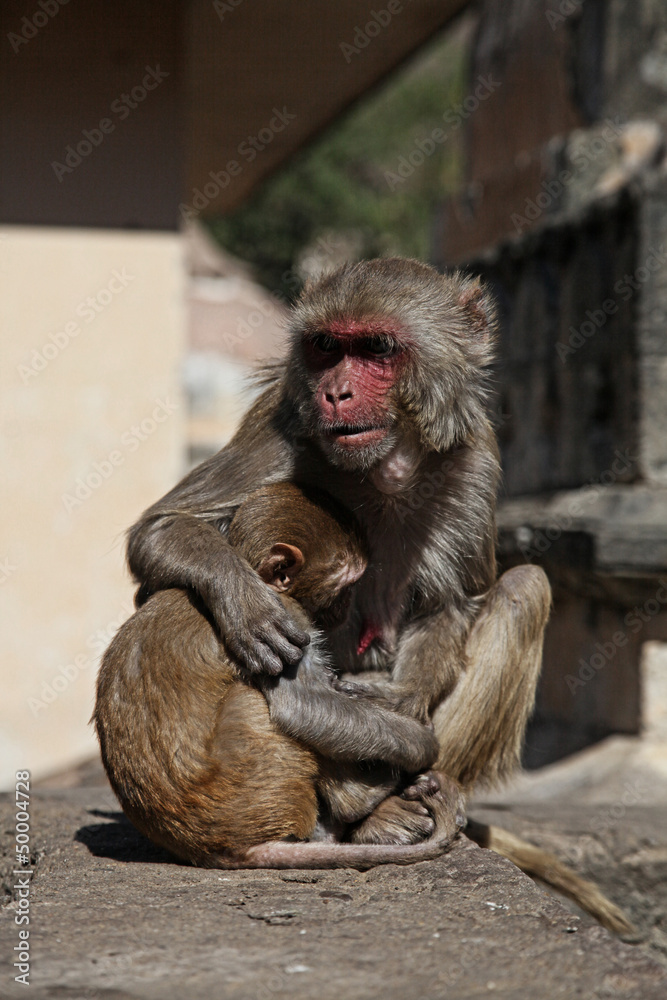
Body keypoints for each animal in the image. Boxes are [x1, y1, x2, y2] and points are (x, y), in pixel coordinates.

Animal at [95, 482, 462, 869]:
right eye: (347, 586)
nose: (348, 610)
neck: (259, 582)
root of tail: (217, 849)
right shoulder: (288, 618)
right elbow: (302, 707)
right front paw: (422, 743)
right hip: (255, 784)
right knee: (256, 701)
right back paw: (365, 799)